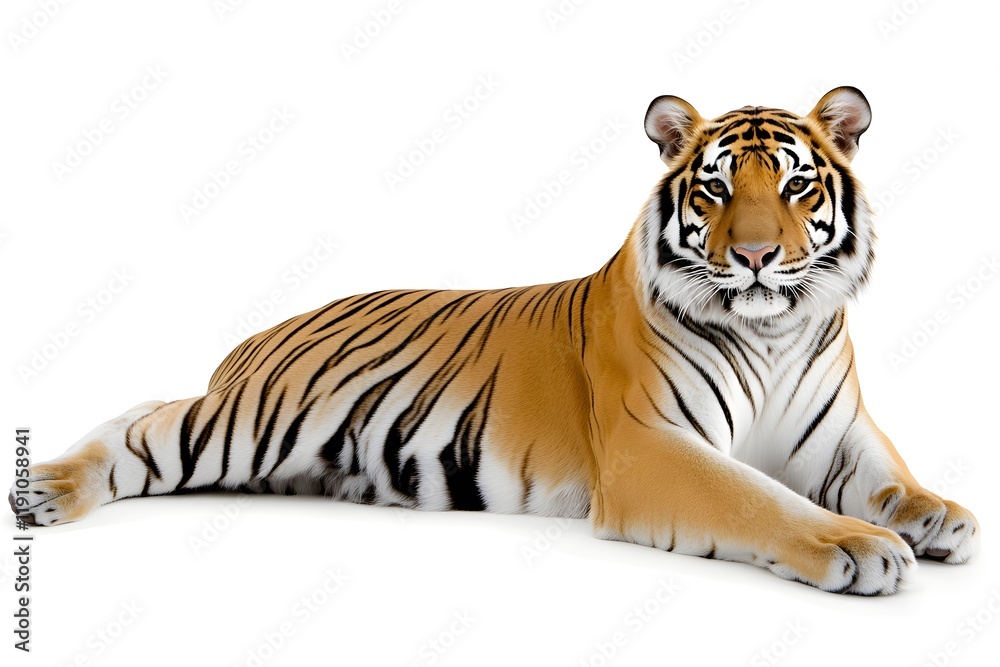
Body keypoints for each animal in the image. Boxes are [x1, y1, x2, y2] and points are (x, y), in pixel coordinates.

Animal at [9, 86, 979, 595]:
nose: (754, 256)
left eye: (795, 185)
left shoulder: (839, 433)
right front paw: (859, 545)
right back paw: (44, 490)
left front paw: (939, 516)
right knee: (142, 423)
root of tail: (261, 333)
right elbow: (758, 499)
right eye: (712, 190)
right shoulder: (650, 446)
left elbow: (890, 477)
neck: (774, 326)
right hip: (249, 420)